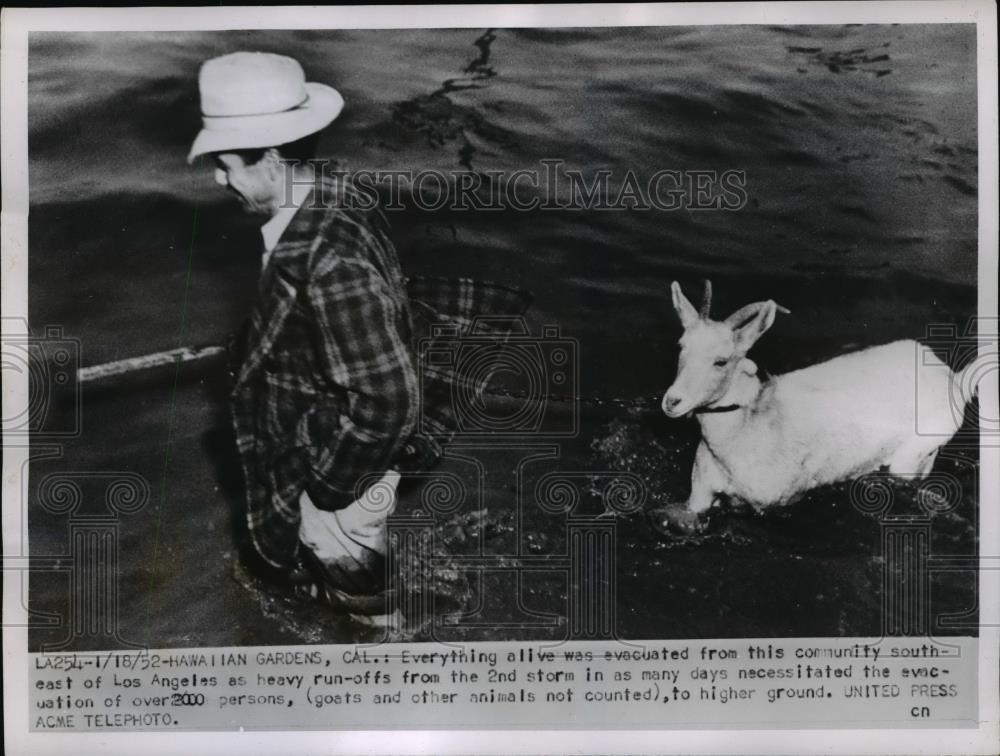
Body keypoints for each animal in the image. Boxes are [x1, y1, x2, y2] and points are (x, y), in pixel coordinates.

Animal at [656, 280, 976, 536]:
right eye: (680, 347)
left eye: (721, 361)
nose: (672, 401)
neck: (750, 429)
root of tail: (954, 378)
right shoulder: (700, 494)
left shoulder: (779, 501)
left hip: (912, 455)